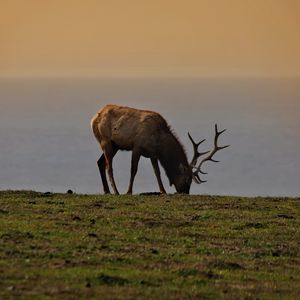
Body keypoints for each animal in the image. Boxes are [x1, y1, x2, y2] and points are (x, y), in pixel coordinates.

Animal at [90, 105, 229, 195]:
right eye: (187, 179)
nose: (185, 193)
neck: (160, 143)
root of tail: (93, 119)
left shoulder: (153, 154)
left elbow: (157, 172)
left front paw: (163, 191)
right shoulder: (137, 147)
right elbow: (133, 170)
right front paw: (129, 192)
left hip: (115, 146)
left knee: (100, 162)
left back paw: (107, 191)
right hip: (106, 141)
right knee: (109, 167)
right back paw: (116, 191)